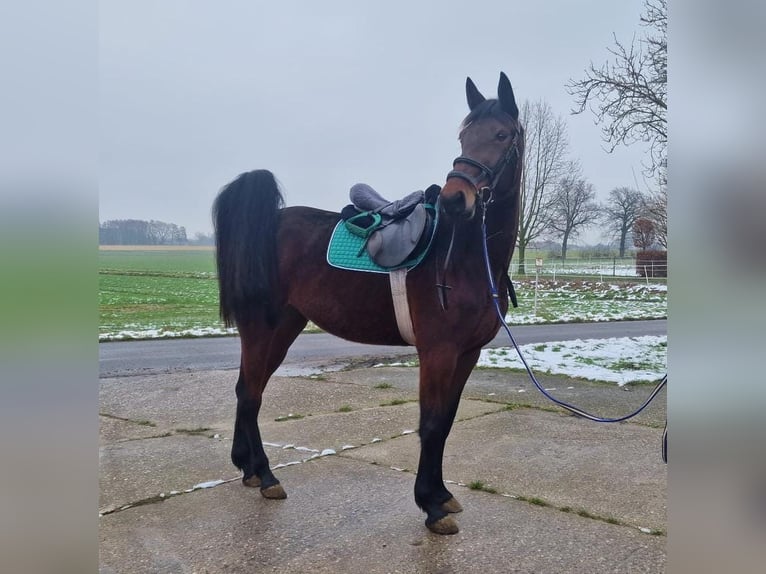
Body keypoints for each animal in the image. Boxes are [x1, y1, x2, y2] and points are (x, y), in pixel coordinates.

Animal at [216, 72, 528, 536]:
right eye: (464, 135)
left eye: (502, 134)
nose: (456, 198)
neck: (465, 258)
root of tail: (268, 222)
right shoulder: (437, 352)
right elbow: (431, 424)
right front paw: (430, 505)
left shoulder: (467, 353)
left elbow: (447, 422)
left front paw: (442, 496)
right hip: (262, 326)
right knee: (250, 393)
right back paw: (267, 475)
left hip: (283, 328)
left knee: (247, 390)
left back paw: (251, 469)